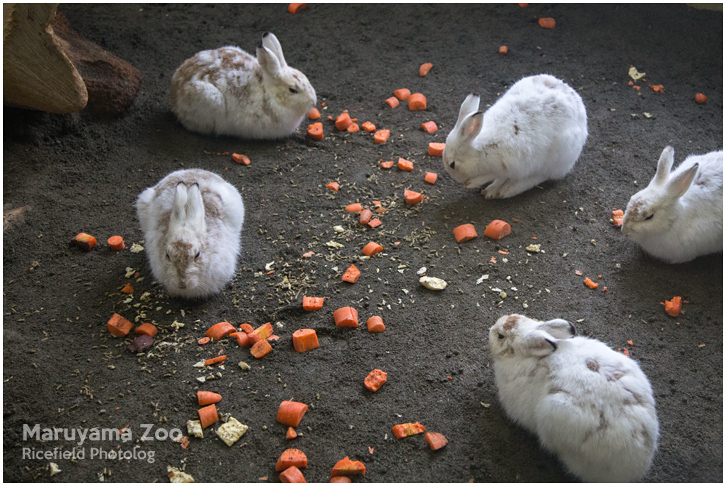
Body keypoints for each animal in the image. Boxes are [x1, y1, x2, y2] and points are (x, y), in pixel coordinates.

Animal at [444, 73, 592, 197]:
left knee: (541, 176)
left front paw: (481, 188)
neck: (481, 150)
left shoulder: (512, 166)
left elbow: (496, 177)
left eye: (452, 164)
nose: (457, 180)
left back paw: (508, 190)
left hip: (556, 157)